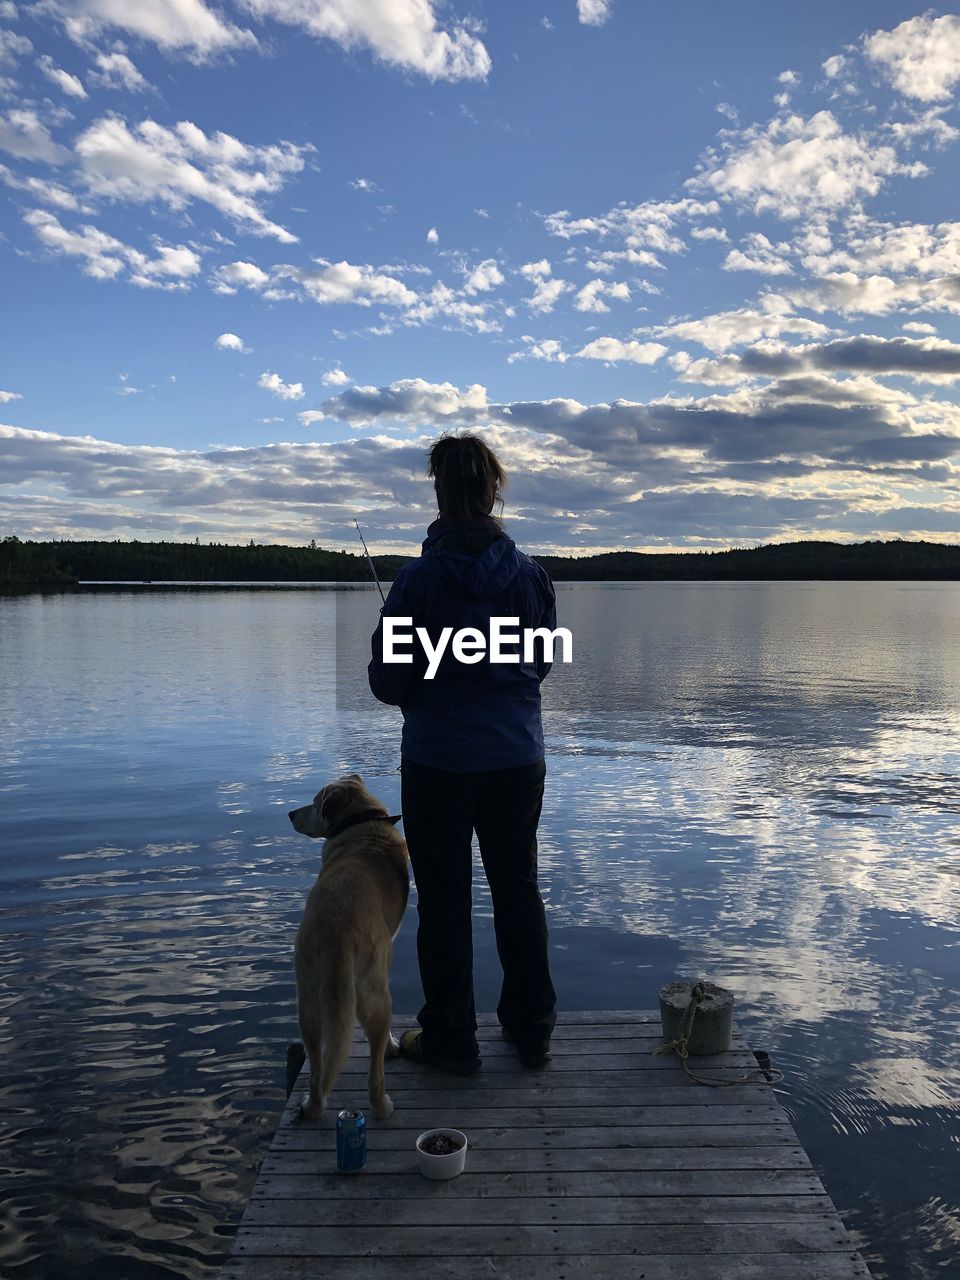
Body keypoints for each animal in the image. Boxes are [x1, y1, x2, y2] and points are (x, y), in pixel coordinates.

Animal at [285, 768, 407, 1121]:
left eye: (315, 803)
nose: (290, 814)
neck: (360, 825)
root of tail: (336, 929)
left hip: (308, 1000)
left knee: (317, 1066)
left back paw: (313, 1106)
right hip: (375, 993)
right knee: (375, 1068)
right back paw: (383, 1105)